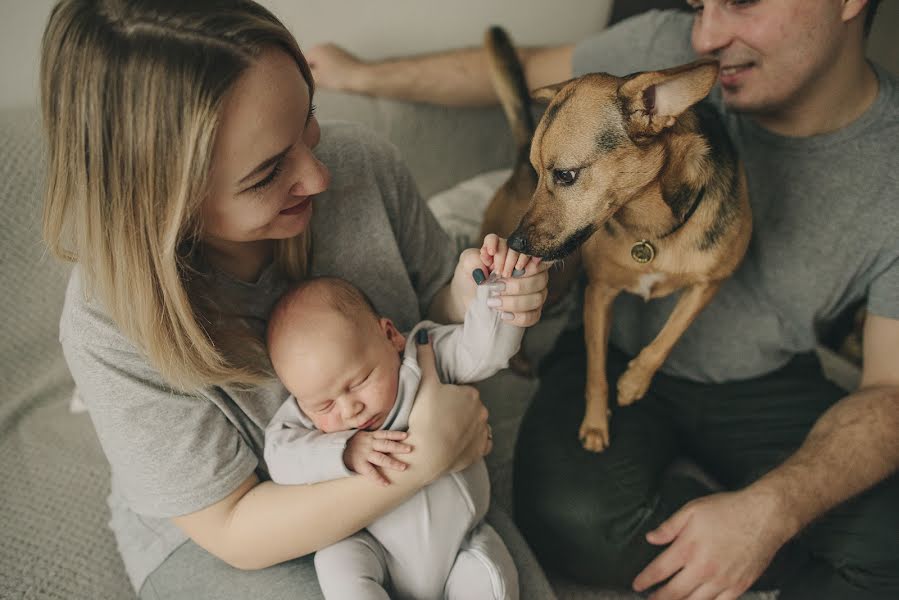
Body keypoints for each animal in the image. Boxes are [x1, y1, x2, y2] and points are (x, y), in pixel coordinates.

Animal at [486, 27, 752, 450]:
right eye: (538, 173)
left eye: (565, 175)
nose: (515, 244)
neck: (650, 230)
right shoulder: (599, 293)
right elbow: (595, 369)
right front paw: (596, 423)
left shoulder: (709, 284)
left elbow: (669, 335)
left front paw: (633, 382)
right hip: (555, 284)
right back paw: (517, 360)